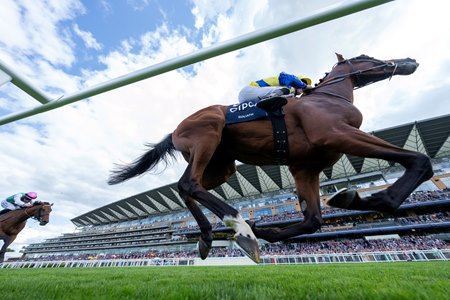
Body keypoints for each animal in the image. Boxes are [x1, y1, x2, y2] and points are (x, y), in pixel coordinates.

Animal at [109, 54, 432, 262]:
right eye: (366, 56)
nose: (409, 61)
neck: (327, 99)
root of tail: (175, 130)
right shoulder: (337, 134)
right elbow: (419, 161)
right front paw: (377, 199)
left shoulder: (306, 167)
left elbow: (313, 220)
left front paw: (266, 228)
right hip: (208, 135)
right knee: (190, 184)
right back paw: (240, 227)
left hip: (222, 165)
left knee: (184, 187)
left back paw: (208, 235)